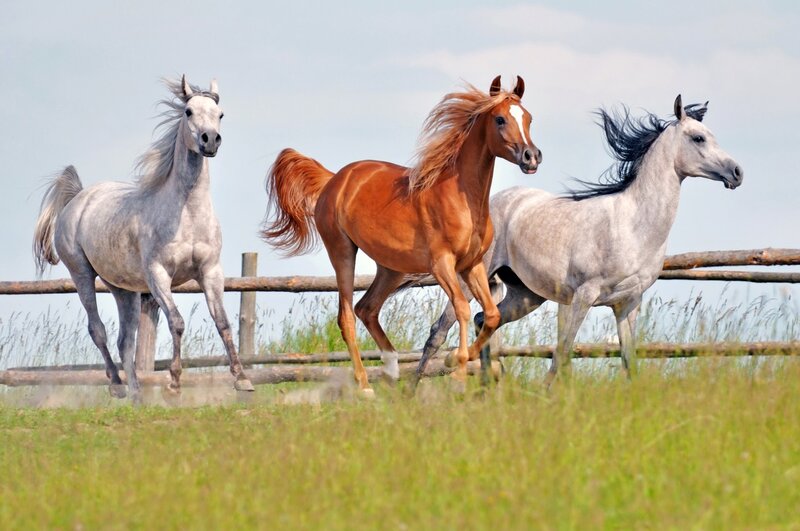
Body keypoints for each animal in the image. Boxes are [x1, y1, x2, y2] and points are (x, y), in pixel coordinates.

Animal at [33, 76, 255, 399]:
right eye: (188, 111)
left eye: (220, 114)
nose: (210, 140)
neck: (186, 214)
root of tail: (79, 198)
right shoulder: (157, 274)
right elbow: (177, 322)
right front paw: (174, 383)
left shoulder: (210, 271)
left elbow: (223, 322)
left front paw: (242, 379)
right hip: (82, 274)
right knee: (97, 329)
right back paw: (117, 385)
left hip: (122, 289)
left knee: (125, 340)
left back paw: (137, 396)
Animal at [260, 76, 542, 395]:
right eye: (500, 119)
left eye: (528, 118)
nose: (532, 157)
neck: (461, 198)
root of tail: (334, 179)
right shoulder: (442, 265)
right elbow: (461, 308)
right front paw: (457, 372)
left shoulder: (473, 265)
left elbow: (492, 314)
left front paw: (453, 360)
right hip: (342, 251)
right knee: (347, 316)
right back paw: (366, 386)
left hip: (391, 268)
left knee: (366, 308)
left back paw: (392, 370)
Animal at [416, 95, 742, 386]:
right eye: (698, 138)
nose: (737, 172)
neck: (633, 225)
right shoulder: (583, 297)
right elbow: (561, 355)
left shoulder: (628, 303)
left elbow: (629, 361)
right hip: (470, 278)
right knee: (439, 331)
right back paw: (413, 391)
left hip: (526, 295)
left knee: (484, 319)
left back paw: (488, 388)